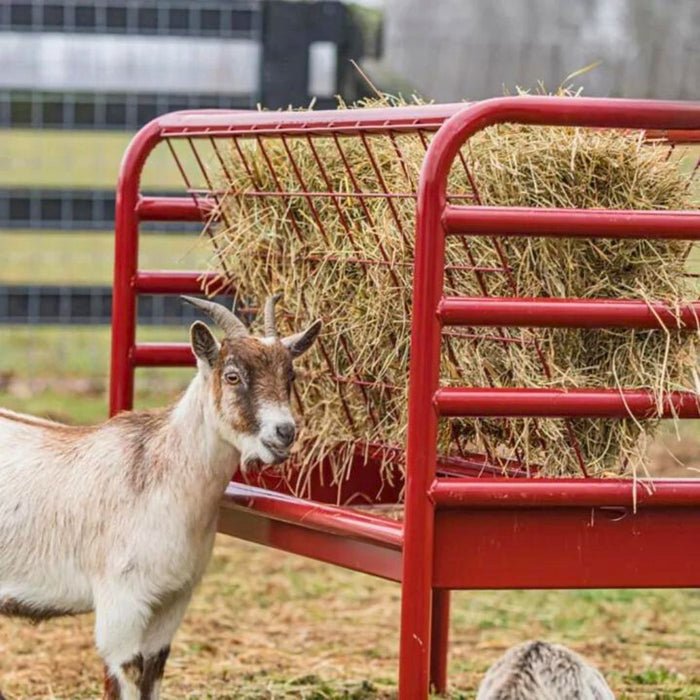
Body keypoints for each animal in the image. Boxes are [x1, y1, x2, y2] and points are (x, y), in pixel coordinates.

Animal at [0, 295, 321, 700]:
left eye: (290, 376)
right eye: (232, 376)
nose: (284, 433)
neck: (159, 473)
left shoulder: (173, 598)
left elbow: (153, 672)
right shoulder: (122, 602)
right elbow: (130, 674)